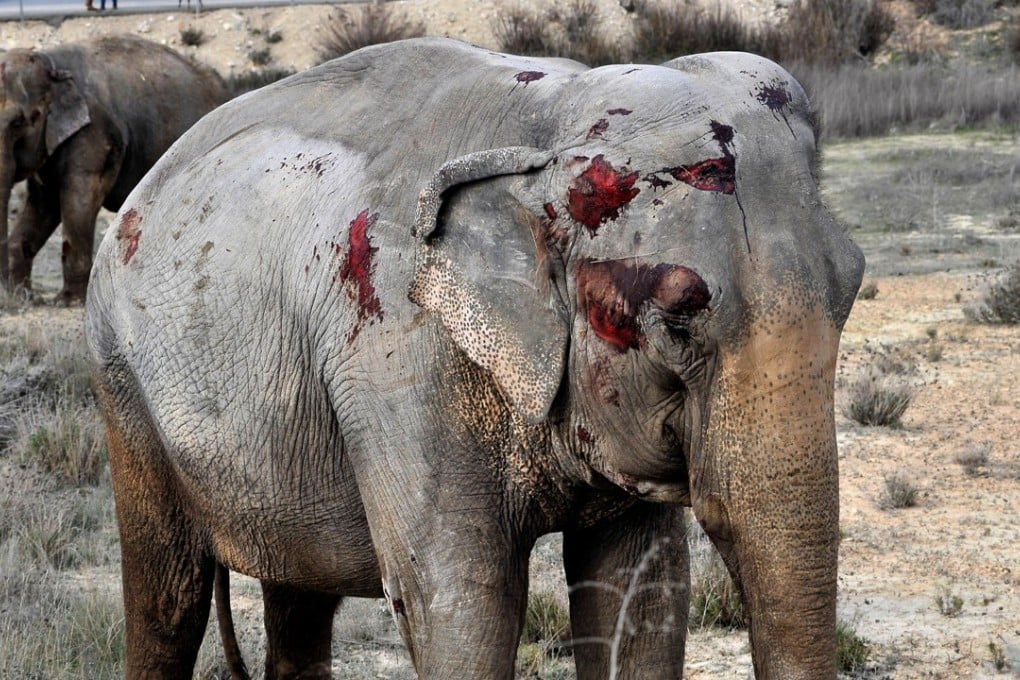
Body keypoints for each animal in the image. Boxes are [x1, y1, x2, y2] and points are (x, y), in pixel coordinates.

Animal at [0, 35, 228, 303]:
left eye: (17, 123)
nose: (7, 298)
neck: (51, 63)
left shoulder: (94, 135)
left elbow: (78, 200)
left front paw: (68, 301)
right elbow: (43, 204)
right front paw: (23, 296)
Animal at [85, 38, 864, 679]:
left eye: (853, 284)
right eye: (677, 320)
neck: (545, 126)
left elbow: (637, 591)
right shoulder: (399, 356)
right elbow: (461, 602)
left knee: (299, 600)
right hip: (121, 381)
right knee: (169, 594)